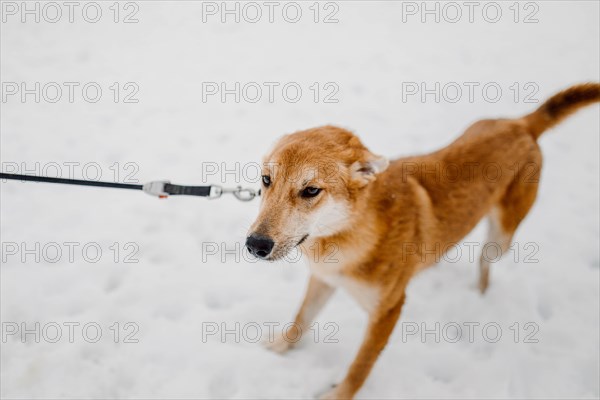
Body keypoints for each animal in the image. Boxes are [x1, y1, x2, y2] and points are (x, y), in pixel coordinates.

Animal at [245, 83, 600, 398]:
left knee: (485, 261)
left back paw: (480, 291)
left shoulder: (388, 310)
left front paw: (338, 396)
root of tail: (522, 124)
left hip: (501, 237)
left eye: (311, 190)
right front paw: (280, 346)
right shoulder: (323, 279)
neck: (346, 235)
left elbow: (360, 367)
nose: (255, 245)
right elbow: (301, 319)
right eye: (266, 179)